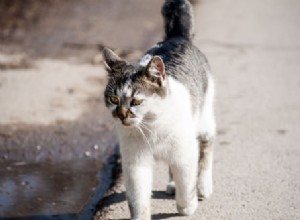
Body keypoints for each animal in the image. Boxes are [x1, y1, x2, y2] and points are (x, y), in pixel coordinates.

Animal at [103, 0, 216, 219]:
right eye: (113, 99)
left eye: (136, 101)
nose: (121, 115)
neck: (151, 127)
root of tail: (176, 37)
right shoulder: (136, 163)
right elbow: (138, 200)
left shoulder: (185, 153)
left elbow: (186, 184)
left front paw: (187, 207)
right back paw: (172, 185)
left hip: (204, 121)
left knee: (206, 149)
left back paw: (203, 186)